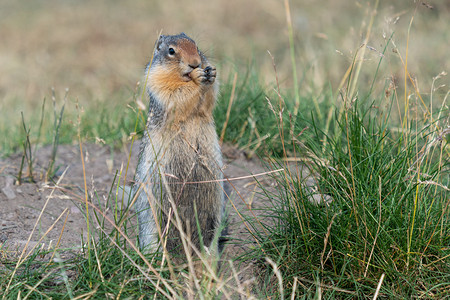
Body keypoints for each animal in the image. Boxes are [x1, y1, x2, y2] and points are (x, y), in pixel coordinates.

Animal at [134, 32, 225, 258]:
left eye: (196, 45)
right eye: (171, 51)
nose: (196, 63)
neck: (183, 77)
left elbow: (208, 100)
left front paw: (211, 73)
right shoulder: (156, 80)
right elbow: (174, 95)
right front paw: (199, 78)